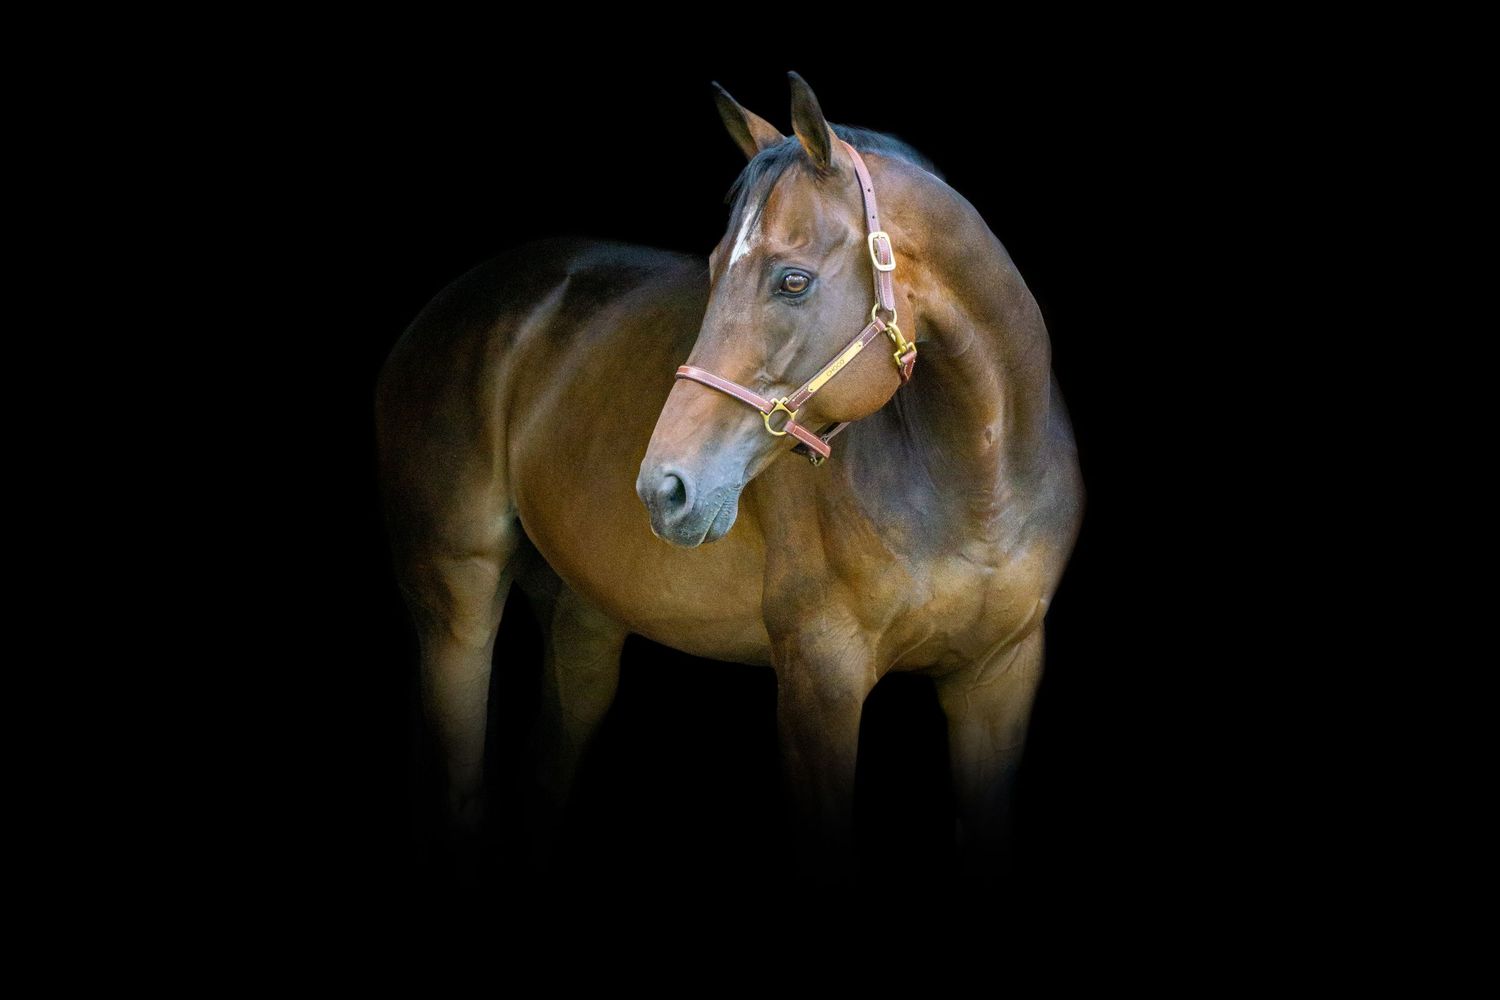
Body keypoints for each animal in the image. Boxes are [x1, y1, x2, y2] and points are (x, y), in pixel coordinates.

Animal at [374, 71, 1084, 887]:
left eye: (793, 280)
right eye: (713, 271)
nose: (665, 488)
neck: (978, 486)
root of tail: (448, 308)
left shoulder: (999, 680)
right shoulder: (821, 677)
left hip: (582, 615)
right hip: (456, 600)